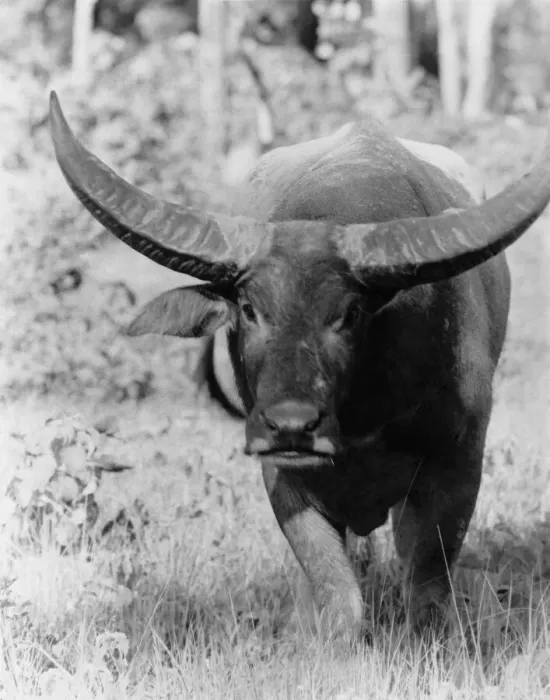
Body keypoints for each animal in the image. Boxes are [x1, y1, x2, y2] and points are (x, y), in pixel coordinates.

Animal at [50, 91, 550, 643]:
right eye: (250, 310)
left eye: (348, 313)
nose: (291, 425)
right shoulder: (283, 476)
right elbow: (337, 592)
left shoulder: (459, 460)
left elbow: (427, 587)